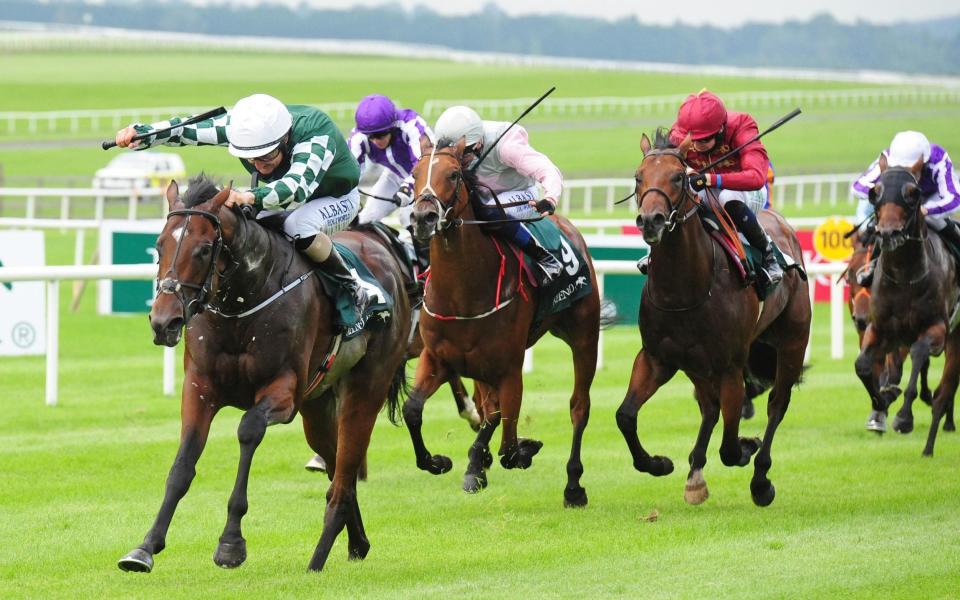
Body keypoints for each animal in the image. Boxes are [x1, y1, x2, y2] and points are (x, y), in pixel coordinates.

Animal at [116, 175, 408, 572]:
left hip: (365, 390)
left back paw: (317, 560)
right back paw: (357, 543)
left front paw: (230, 543)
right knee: (336, 469)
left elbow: (248, 429)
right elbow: (182, 466)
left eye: (204, 250)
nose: (165, 322)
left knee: (345, 476)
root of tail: (384, 252)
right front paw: (145, 548)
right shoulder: (200, 388)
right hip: (317, 408)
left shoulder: (283, 392)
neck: (242, 303)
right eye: (159, 245)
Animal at [406, 139, 608, 506]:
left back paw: (573, 486)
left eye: (453, 174)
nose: (423, 217)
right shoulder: (437, 358)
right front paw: (439, 461)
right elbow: (413, 409)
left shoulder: (508, 369)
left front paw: (516, 451)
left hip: (584, 337)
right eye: (414, 172)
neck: (463, 293)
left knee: (579, 407)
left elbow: (508, 441)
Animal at [620, 131, 812, 506]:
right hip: (696, 364)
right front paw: (658, 463)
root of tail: (782, 224)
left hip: (792, 342)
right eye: (638, 177)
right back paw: (695, 473)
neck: (684, 289)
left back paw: (760, 479)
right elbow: (626, 416)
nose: (650, 221)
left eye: (678, 177)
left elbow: (730, 446)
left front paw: (747, 447)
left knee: (776, 405)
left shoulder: (730, 367)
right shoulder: (656, 359)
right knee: (709, 407)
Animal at [856, 156, 960, 454]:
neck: (904, 276)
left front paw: (904, 417)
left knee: (942, 394)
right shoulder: (880, 329)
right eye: (875, 192)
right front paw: (882, 401)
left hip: (955, 339)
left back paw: (929, 447)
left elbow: (918, 354)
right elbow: (863, 365)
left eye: (913, 194)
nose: (888, 233)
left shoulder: (936, 328)